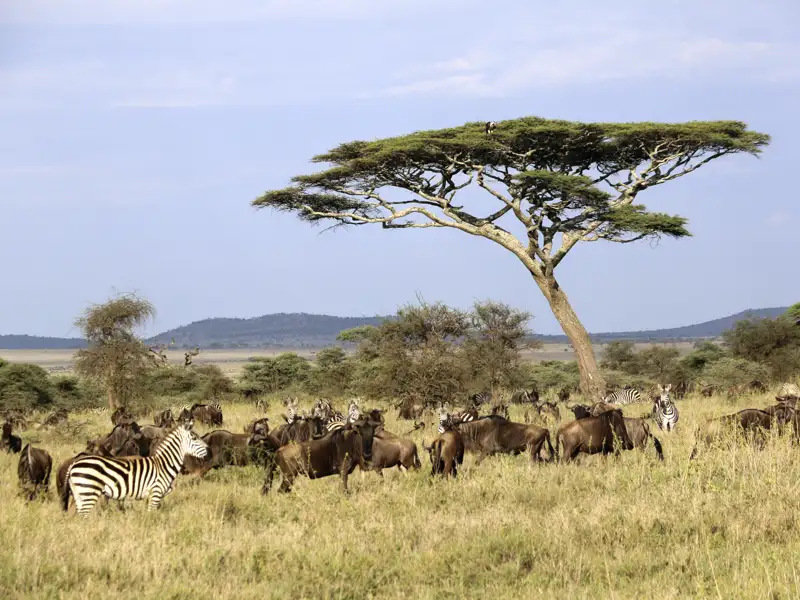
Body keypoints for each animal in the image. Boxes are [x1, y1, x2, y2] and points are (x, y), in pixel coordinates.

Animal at [64, 420, 209, 517]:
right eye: (194, 438)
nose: (209, 452)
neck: (163, 463)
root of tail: (73, 465)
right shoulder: (155, 493)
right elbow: (152, 517)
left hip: (79, 493)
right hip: (88, 492)